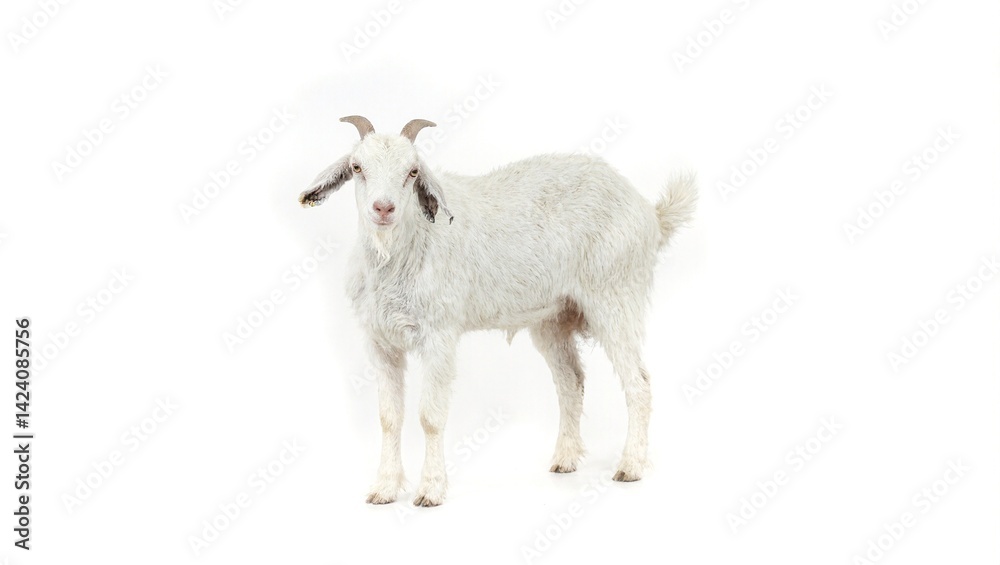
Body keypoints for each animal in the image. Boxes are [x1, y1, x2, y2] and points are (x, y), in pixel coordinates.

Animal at [299, 115, 696, 506]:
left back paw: (631, 466)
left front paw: (430, 490)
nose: (383, 209)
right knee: (571, 382)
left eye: (412, 171)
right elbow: (388, 418)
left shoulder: (439, 335)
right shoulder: (381, 342)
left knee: (638, 382)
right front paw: (384, 489)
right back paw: (565, 459)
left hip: (615, 297)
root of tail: (650, 214)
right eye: (357, 167)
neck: (404, 249)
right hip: (553, 318)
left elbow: (430, 417)